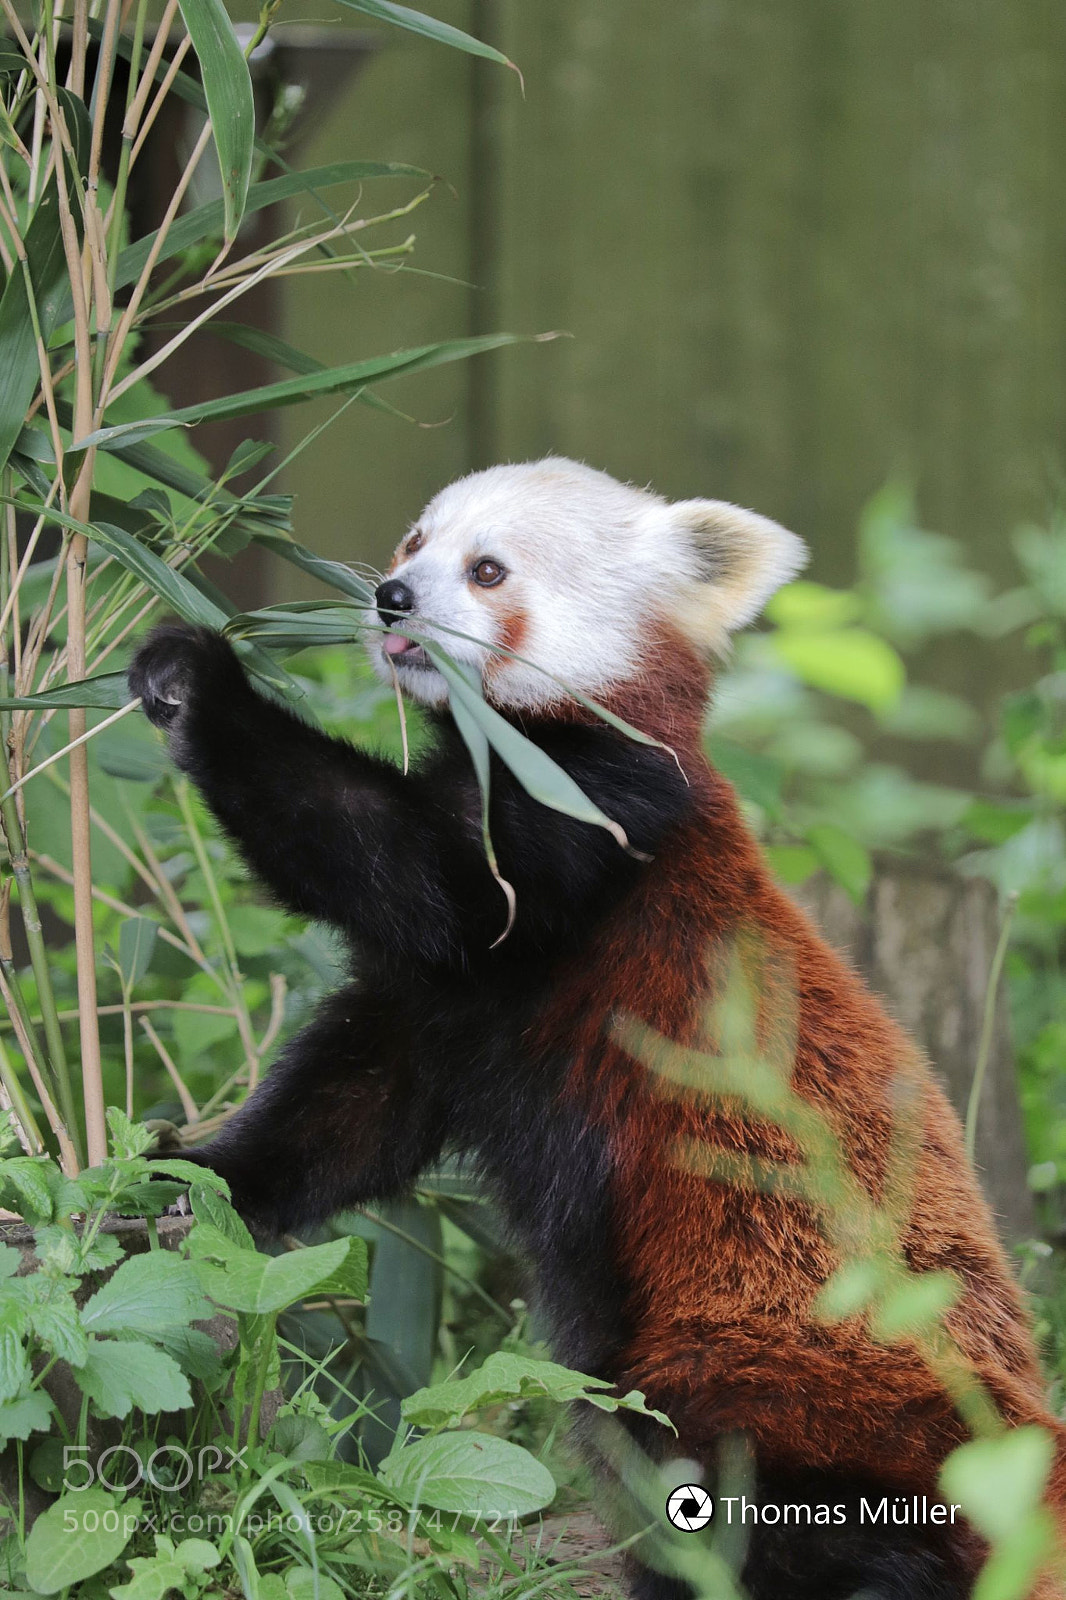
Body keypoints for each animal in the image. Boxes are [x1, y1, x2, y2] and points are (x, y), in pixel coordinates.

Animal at [130, 457, 1065, 1600]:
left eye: (487, 570)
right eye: (413, 542)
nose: (391, 597)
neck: (513, 741)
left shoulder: (581, 834)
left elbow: (392, 857)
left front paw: (201, 682)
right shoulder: (443, 1007)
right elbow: (347, 1111)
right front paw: (197, 1174)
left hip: (776, 1359)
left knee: (732, 1475)